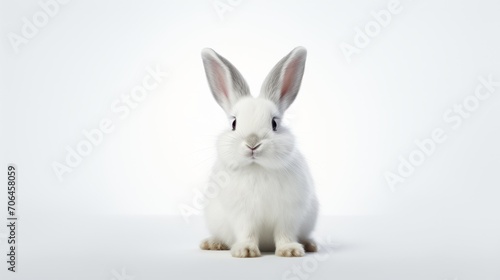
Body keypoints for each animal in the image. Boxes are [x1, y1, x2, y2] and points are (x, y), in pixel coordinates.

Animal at [198, 46, 318, 258]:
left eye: (274, 123)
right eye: (234, 123)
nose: (252, 143)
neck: (257, 167)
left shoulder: (288, 214)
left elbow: (285, 233)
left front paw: (290, 250)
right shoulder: (243, 215)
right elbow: (246, 232)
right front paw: (245, 251)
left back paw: (310, 244)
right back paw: (212, 244)